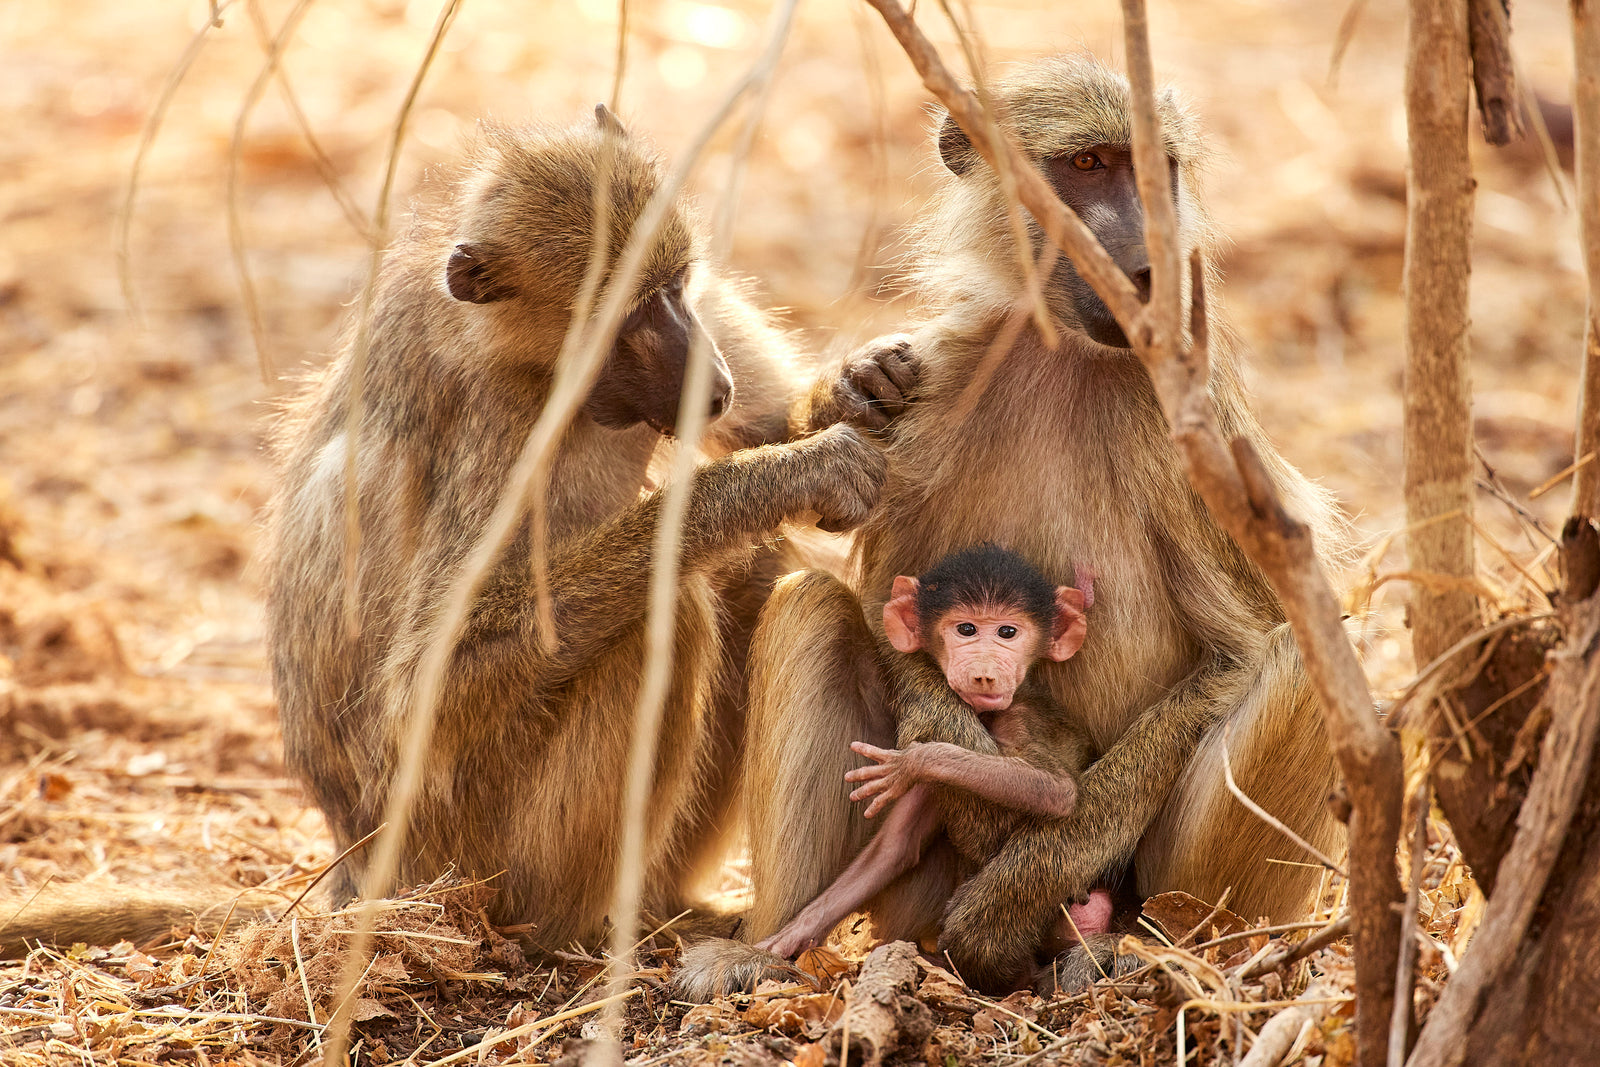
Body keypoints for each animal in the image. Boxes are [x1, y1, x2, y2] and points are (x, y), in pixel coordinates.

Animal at [754, 543, 1114, 962]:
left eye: (1008, 632)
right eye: (966, 629)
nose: (984, 673)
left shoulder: (1020, 718)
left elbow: (1056, 789)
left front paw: (914, 762)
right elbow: (894, 849)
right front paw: (794, 932)